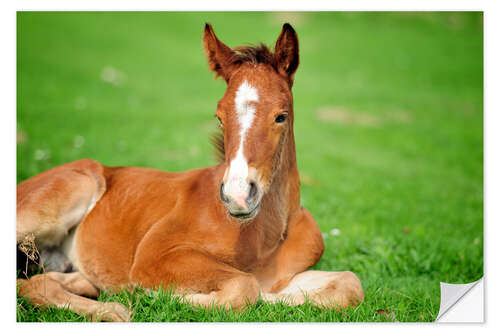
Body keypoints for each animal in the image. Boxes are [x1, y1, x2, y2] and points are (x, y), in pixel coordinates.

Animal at [16, 23, 364, 320]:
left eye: (281, 115)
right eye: (220, 117)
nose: (238, 196)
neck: (265, 237)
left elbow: (350, 284)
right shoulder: (155, 255)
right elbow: (245, 286)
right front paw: (156, 295)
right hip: (62, 198)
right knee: (28, 284)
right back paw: (115, 309)